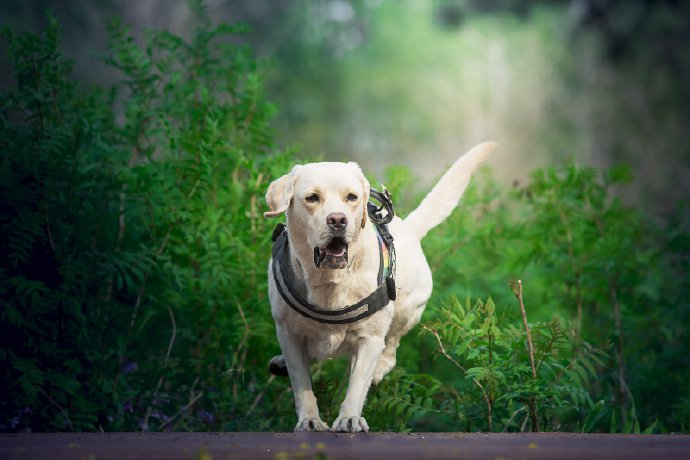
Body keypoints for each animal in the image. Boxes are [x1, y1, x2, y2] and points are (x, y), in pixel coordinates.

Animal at [264, 141, 494, 432]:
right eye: (312, 198)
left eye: (351, 197)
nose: (337, 220)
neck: (330, 281)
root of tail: (408, 228)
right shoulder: (288, 333)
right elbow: (301, 382)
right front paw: (310, 420)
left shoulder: (370, 338)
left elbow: (357, 384)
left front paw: (349, 418)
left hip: (407, 309)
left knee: (391, 347)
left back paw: (380, 367)